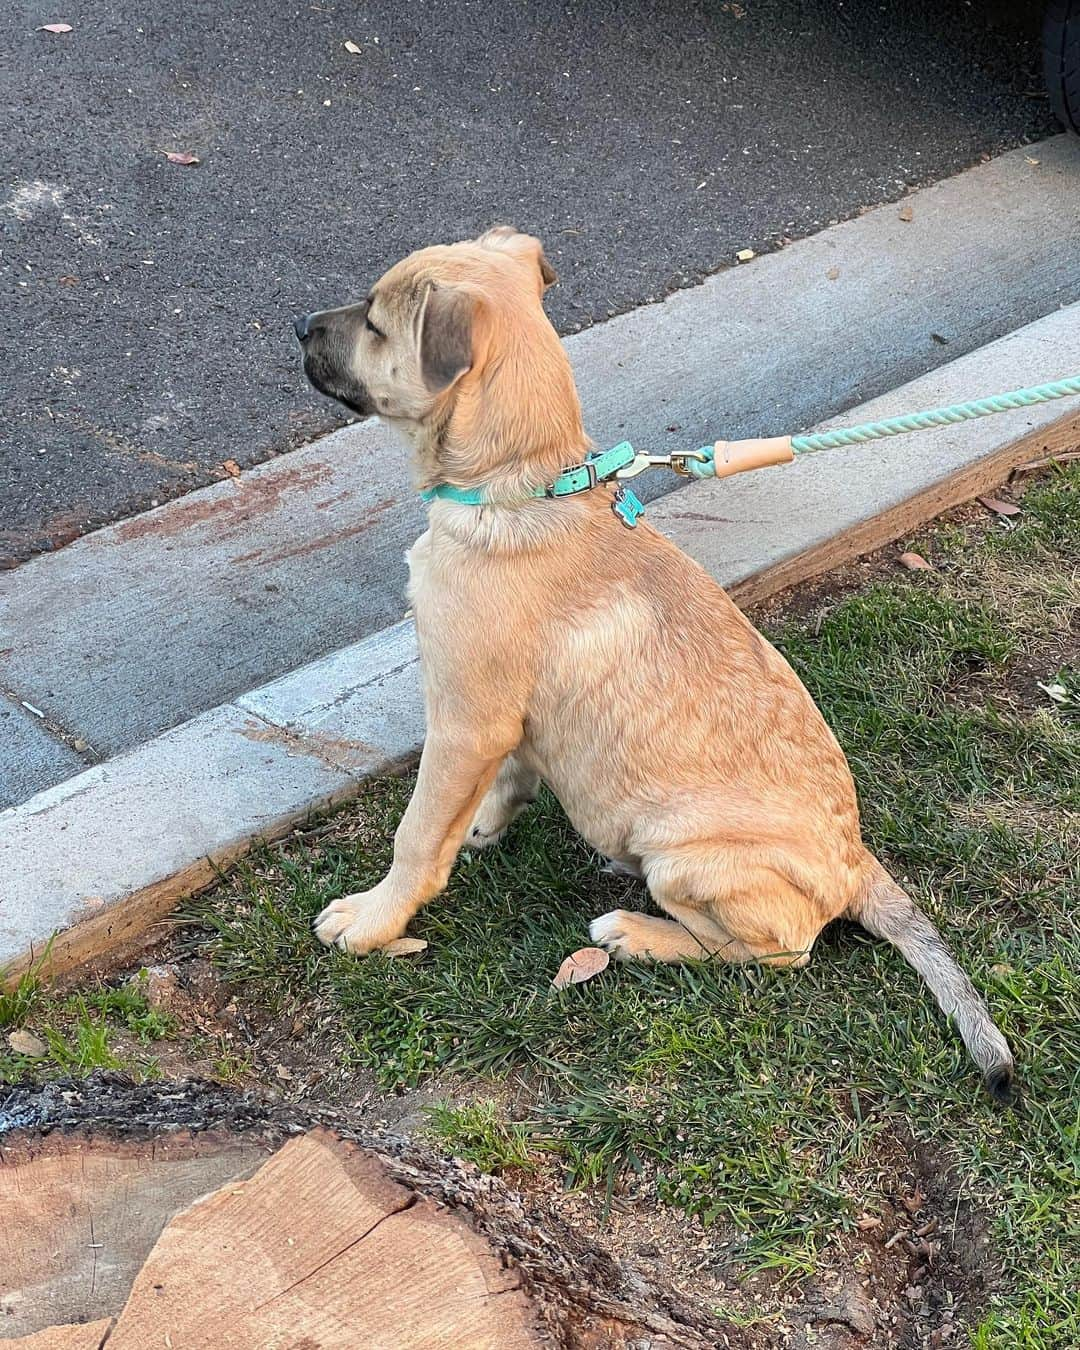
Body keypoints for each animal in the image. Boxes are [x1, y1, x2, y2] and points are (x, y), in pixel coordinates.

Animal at [292, 226, 1015, 1101]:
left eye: (374, 323)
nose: (297, 328)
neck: (519, 483)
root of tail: (857, 864)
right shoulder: (502, 723)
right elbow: (498, 785)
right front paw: (484, 826)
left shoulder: (465, 718)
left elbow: (416, 837)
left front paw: (372, 921)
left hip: (680, 853)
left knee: (778, 950)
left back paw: (638, 933)